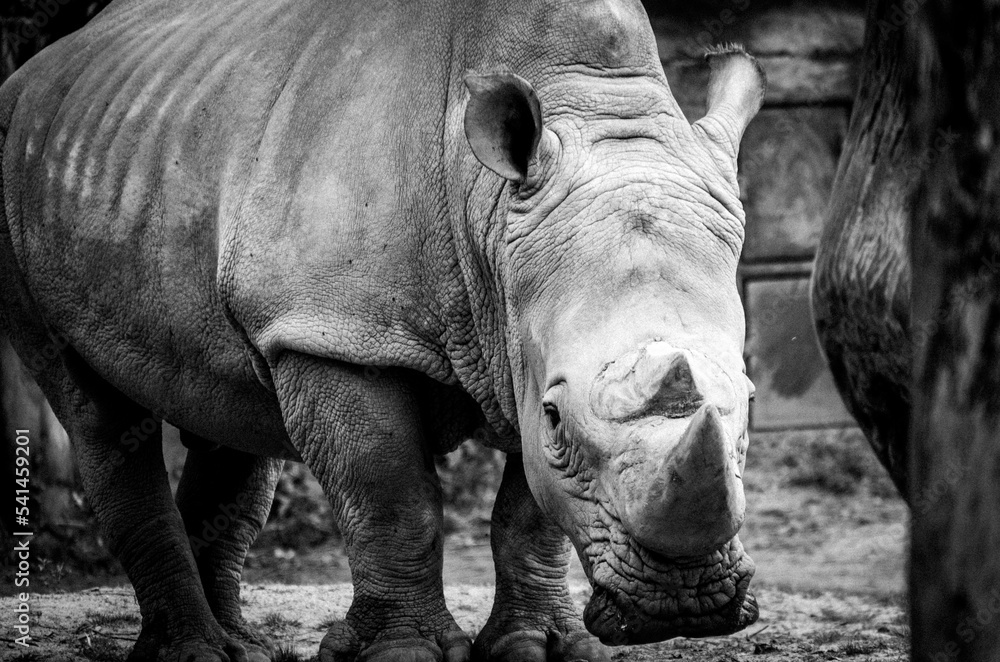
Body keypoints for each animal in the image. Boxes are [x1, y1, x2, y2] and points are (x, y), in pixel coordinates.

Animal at [0, 0, 765, 660]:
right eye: (554, 416)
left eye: (751, 403)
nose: (683, 603)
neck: (488, 213)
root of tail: (34, 71)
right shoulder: (334, 330)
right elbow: (392, 497)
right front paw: (405, 652)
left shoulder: (517, 336)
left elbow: (531, 511)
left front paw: (541, 649)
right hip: (17, 179)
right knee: (92, 407)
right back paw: (195, 654)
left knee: (227, 411)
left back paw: (242, 650)